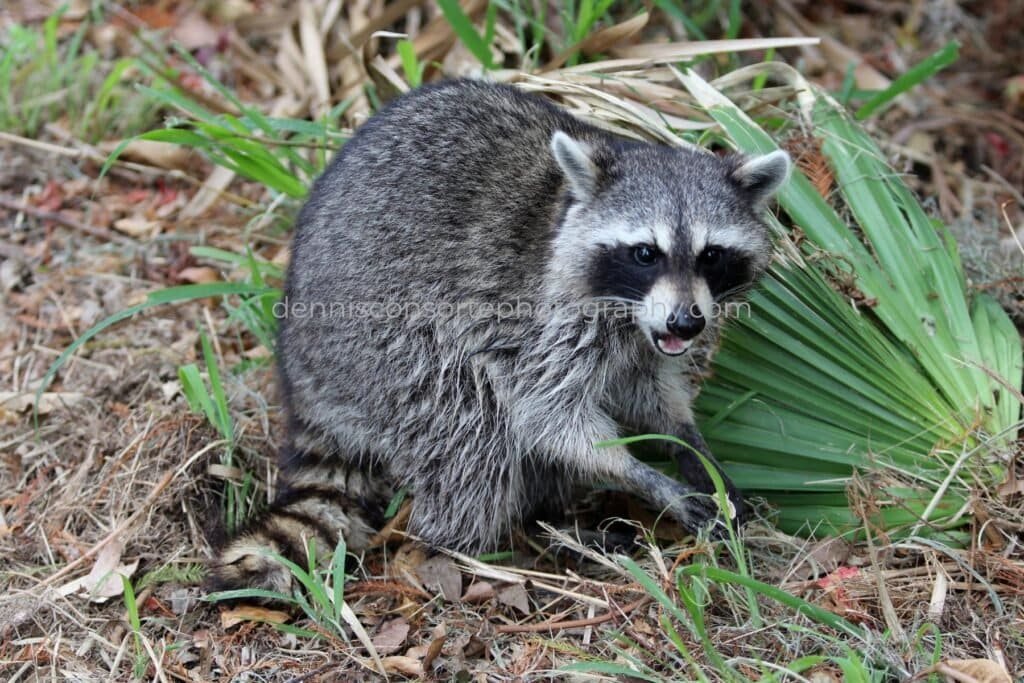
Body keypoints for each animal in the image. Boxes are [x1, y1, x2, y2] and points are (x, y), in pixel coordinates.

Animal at [212, 79, 790, 593]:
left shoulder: (640, 340)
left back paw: (549, 516)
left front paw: (688, 444)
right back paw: (488, 542)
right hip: (377, 345)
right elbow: (551, 421)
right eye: (646, 253)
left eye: (711, 255)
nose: (686, 324)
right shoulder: (538, 321)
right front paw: (644, 476)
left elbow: (647, 393)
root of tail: (300, 366)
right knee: (469, 425)